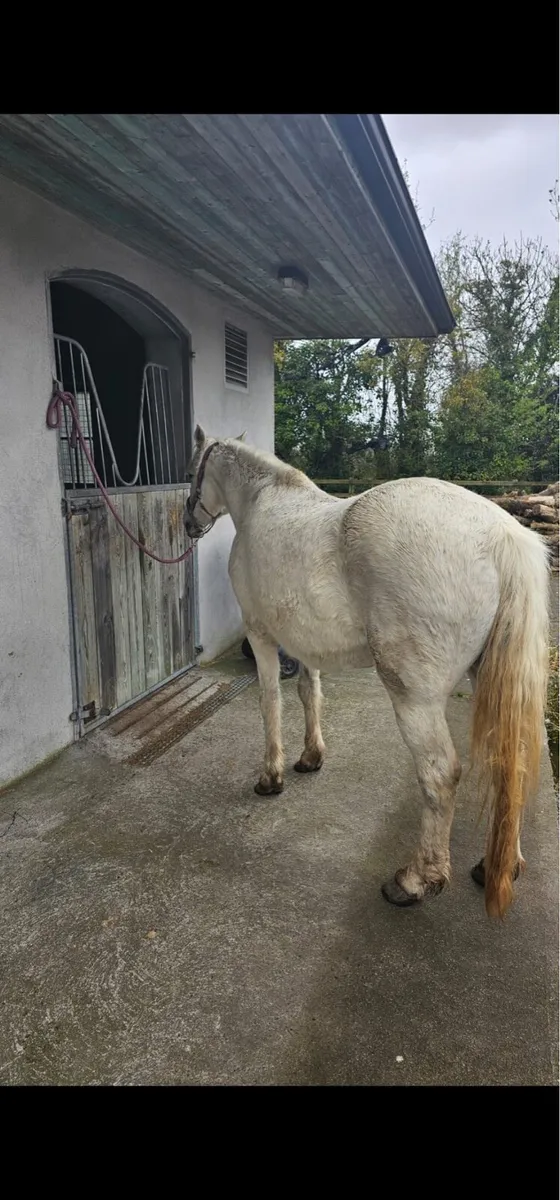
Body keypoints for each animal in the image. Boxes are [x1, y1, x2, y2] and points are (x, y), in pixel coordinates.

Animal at [184, 426, 550, 919]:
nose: (188, 523)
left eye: (192, 471)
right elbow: (309, 692)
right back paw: (499, 865)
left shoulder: (262, 635)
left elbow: (270, 702)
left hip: (415, 697)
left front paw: (270, 778)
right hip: (487, 678)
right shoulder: (305, 643)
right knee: (514, 758)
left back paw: (414, 881)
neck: (264, 500)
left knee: (440, 773)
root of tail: (501, 535)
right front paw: (310, 758)